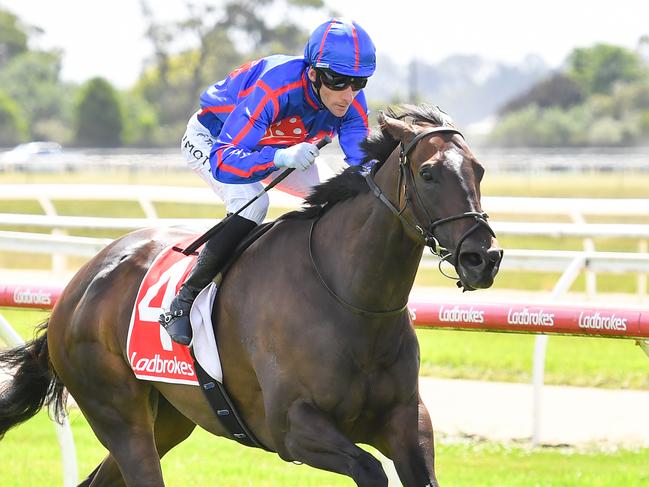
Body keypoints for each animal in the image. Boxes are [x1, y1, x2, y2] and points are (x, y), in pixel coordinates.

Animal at [0, 105, 502, 486]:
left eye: (479, 169)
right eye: (428, 173)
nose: (484, 257)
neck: (352, 301)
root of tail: (77, 288)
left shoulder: (406, 421)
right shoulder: (294, 428)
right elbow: (370, 470)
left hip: (169, 417)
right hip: (118, 414)